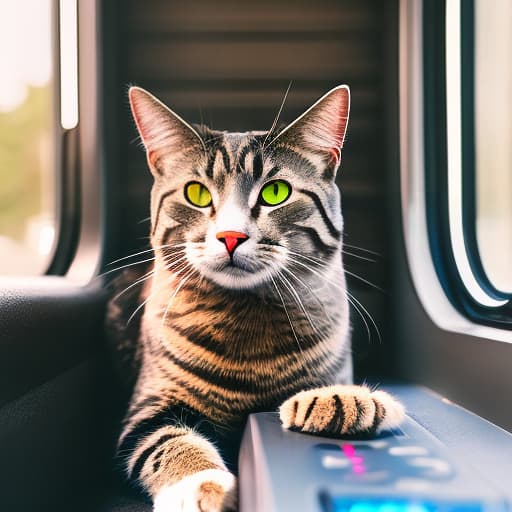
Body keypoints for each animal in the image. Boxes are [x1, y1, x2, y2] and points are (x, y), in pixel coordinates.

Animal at [108, 85, 404, 512]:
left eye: (276, 192)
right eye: (197, 193)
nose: (231, 236)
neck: (247, 314)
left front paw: (343, 400)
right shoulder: (148, 407)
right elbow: (167, 442)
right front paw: (206, 486)